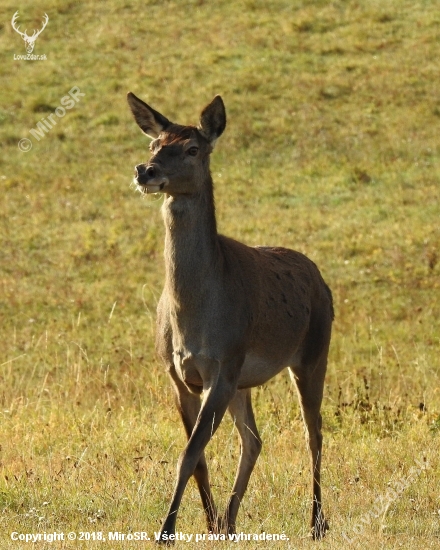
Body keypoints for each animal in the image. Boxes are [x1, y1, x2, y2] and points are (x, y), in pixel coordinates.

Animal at [127, 91, 334, 544]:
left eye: (192, 148)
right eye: (155, 143)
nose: (145, 170)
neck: (194, 316)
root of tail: (320, 279)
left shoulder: (223, 364)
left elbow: (190, 452)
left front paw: (166, 532)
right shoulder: (177, 373)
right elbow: (199, 456)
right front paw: (206, 523)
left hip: (312, 353)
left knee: (314, 432)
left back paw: (316, 523)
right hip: (244, 380)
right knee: (254, 439)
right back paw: (229, 522)